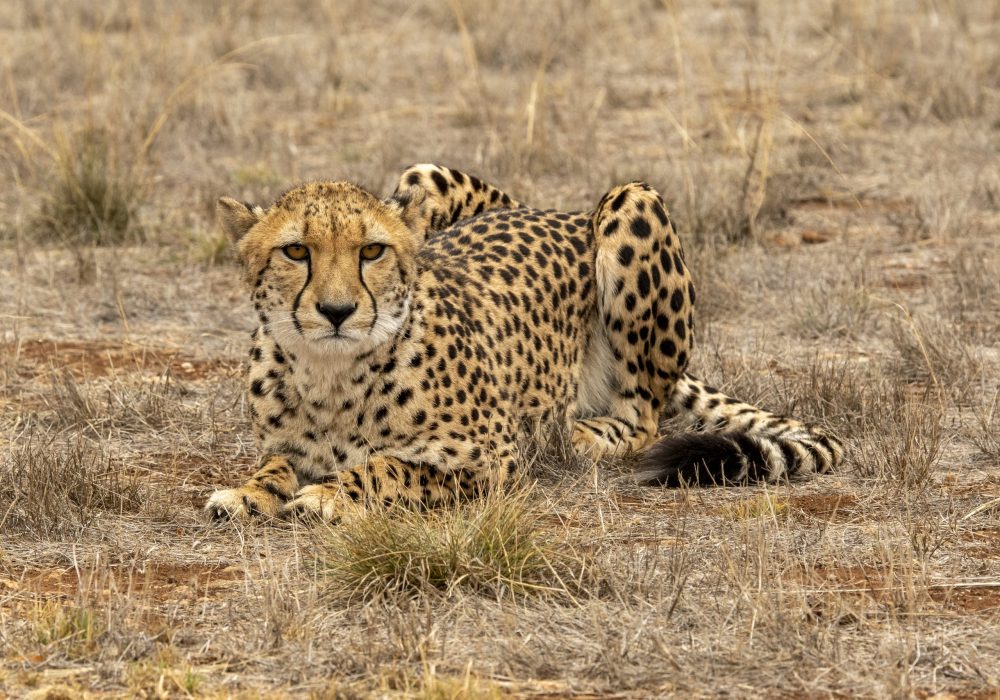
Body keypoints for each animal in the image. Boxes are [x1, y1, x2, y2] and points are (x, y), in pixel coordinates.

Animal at [206, 163, 844, 522]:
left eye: (372, 251)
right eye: (296, 250)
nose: (337, 312)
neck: (331, 372)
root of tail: (560, 212)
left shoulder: (495, 459)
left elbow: (391, 466)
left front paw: (330, 494)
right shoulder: (285, 446)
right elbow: (273, 466)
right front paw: (248, 493)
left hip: (631, 200)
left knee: (643, 418)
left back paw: (577, 435)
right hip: (421, 173)